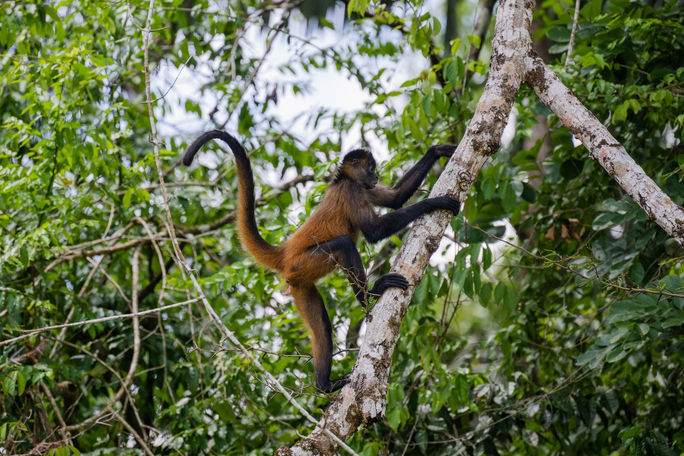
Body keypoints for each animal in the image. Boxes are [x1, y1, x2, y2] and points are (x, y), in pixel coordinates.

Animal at [182, 129, 460, 392]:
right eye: (371, 169)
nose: (375, 178)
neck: (342, 180)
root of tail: (285, 252)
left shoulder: (363, 190)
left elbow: (395, 198)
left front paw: (438, 150)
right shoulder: (353, 190)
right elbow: (374, 231)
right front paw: (435, 201)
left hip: (300, 284)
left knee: (321, 329)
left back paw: (323, 386)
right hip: (304, 263)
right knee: (344, 244)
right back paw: (370, 297)